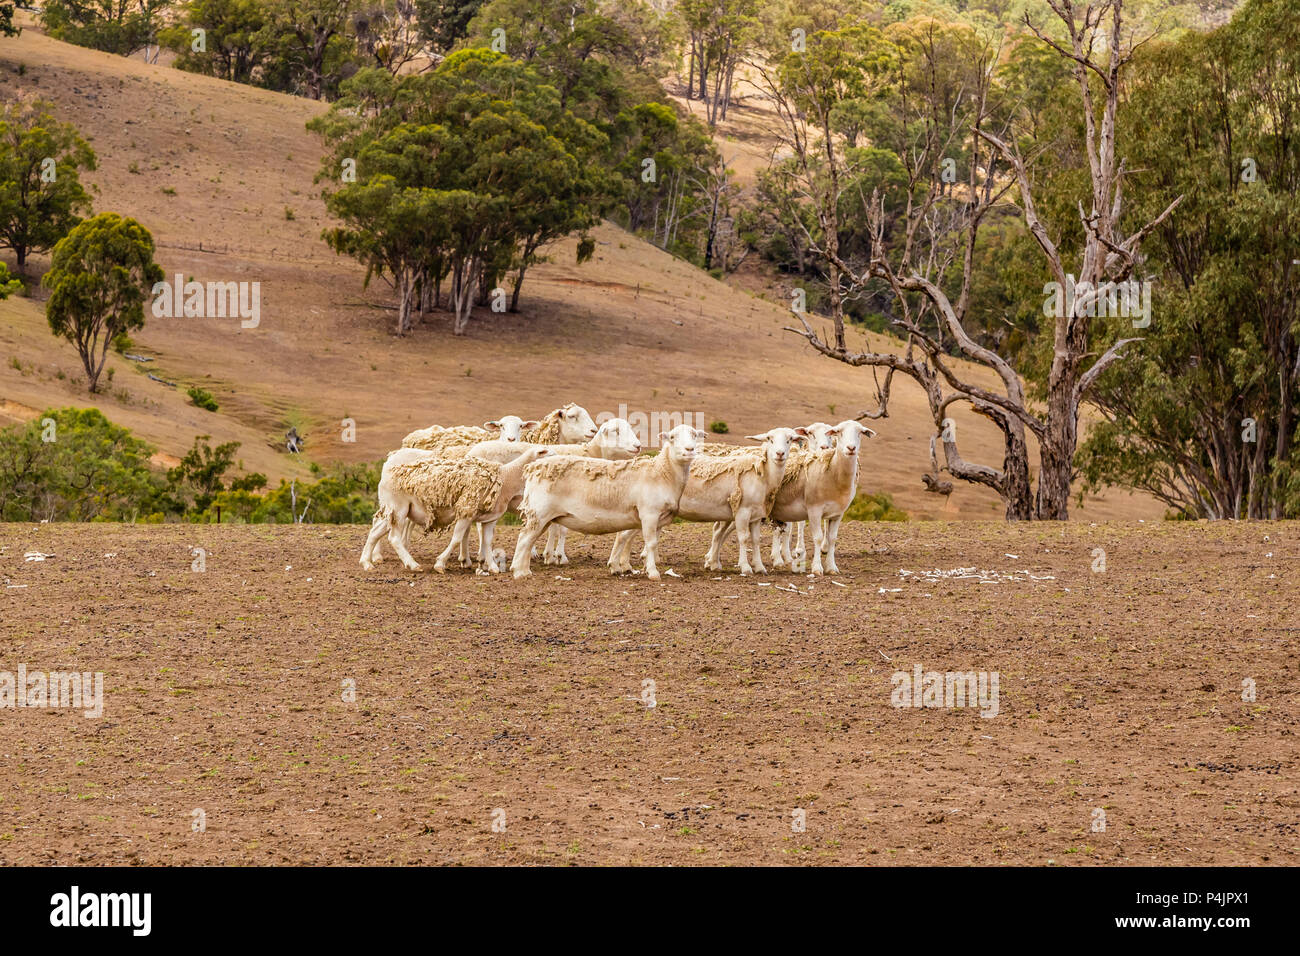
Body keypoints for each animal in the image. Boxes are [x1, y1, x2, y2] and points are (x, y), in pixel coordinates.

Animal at [358, 447, 551, 572]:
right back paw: (412, 564)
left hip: (391, 510)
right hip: (398, 509)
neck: (506, 476)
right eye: (550, 452)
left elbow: (487, 542)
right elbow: (457, 539)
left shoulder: (490, 518)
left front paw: (493, 567)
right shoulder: (466, 512)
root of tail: (387, 471)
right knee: (393, 537)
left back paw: (367, 563)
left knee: (375, 532)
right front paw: (440, 564)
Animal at [509, 426, 712, 582]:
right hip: (539, 513)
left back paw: (524, 570)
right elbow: (651, 543)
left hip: (544, 516)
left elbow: (626, 537)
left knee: (528, 540)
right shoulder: (649, 513)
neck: (662, 473)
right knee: (524, 539)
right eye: (672, 437)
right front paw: (653, 573)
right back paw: (519, 572)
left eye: (695, 435)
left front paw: (618, 566)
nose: (689, 449)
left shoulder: (643, 516)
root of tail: (532, 468)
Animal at [712, 421, 873, 572]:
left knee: (721, 531)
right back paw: (714, 560)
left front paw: (831, 566)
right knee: (719, 530)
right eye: (838, 432)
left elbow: (832, 538)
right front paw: (812, 564)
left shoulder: (837, 513)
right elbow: (814, 536)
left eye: (860, 433)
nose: (851, 448)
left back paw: (714, 561)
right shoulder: (812, 509)